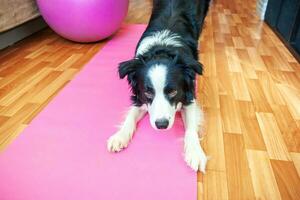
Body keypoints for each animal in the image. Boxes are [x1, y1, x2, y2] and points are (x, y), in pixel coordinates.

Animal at [107, 0, 209, 172]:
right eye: (148, 92)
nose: (161, 125)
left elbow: (191, 126)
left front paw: (195, 152)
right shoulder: (139, 96)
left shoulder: (189, 94)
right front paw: (120, 136)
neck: (162, 50)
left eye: (173, 91)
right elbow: (130, 115)